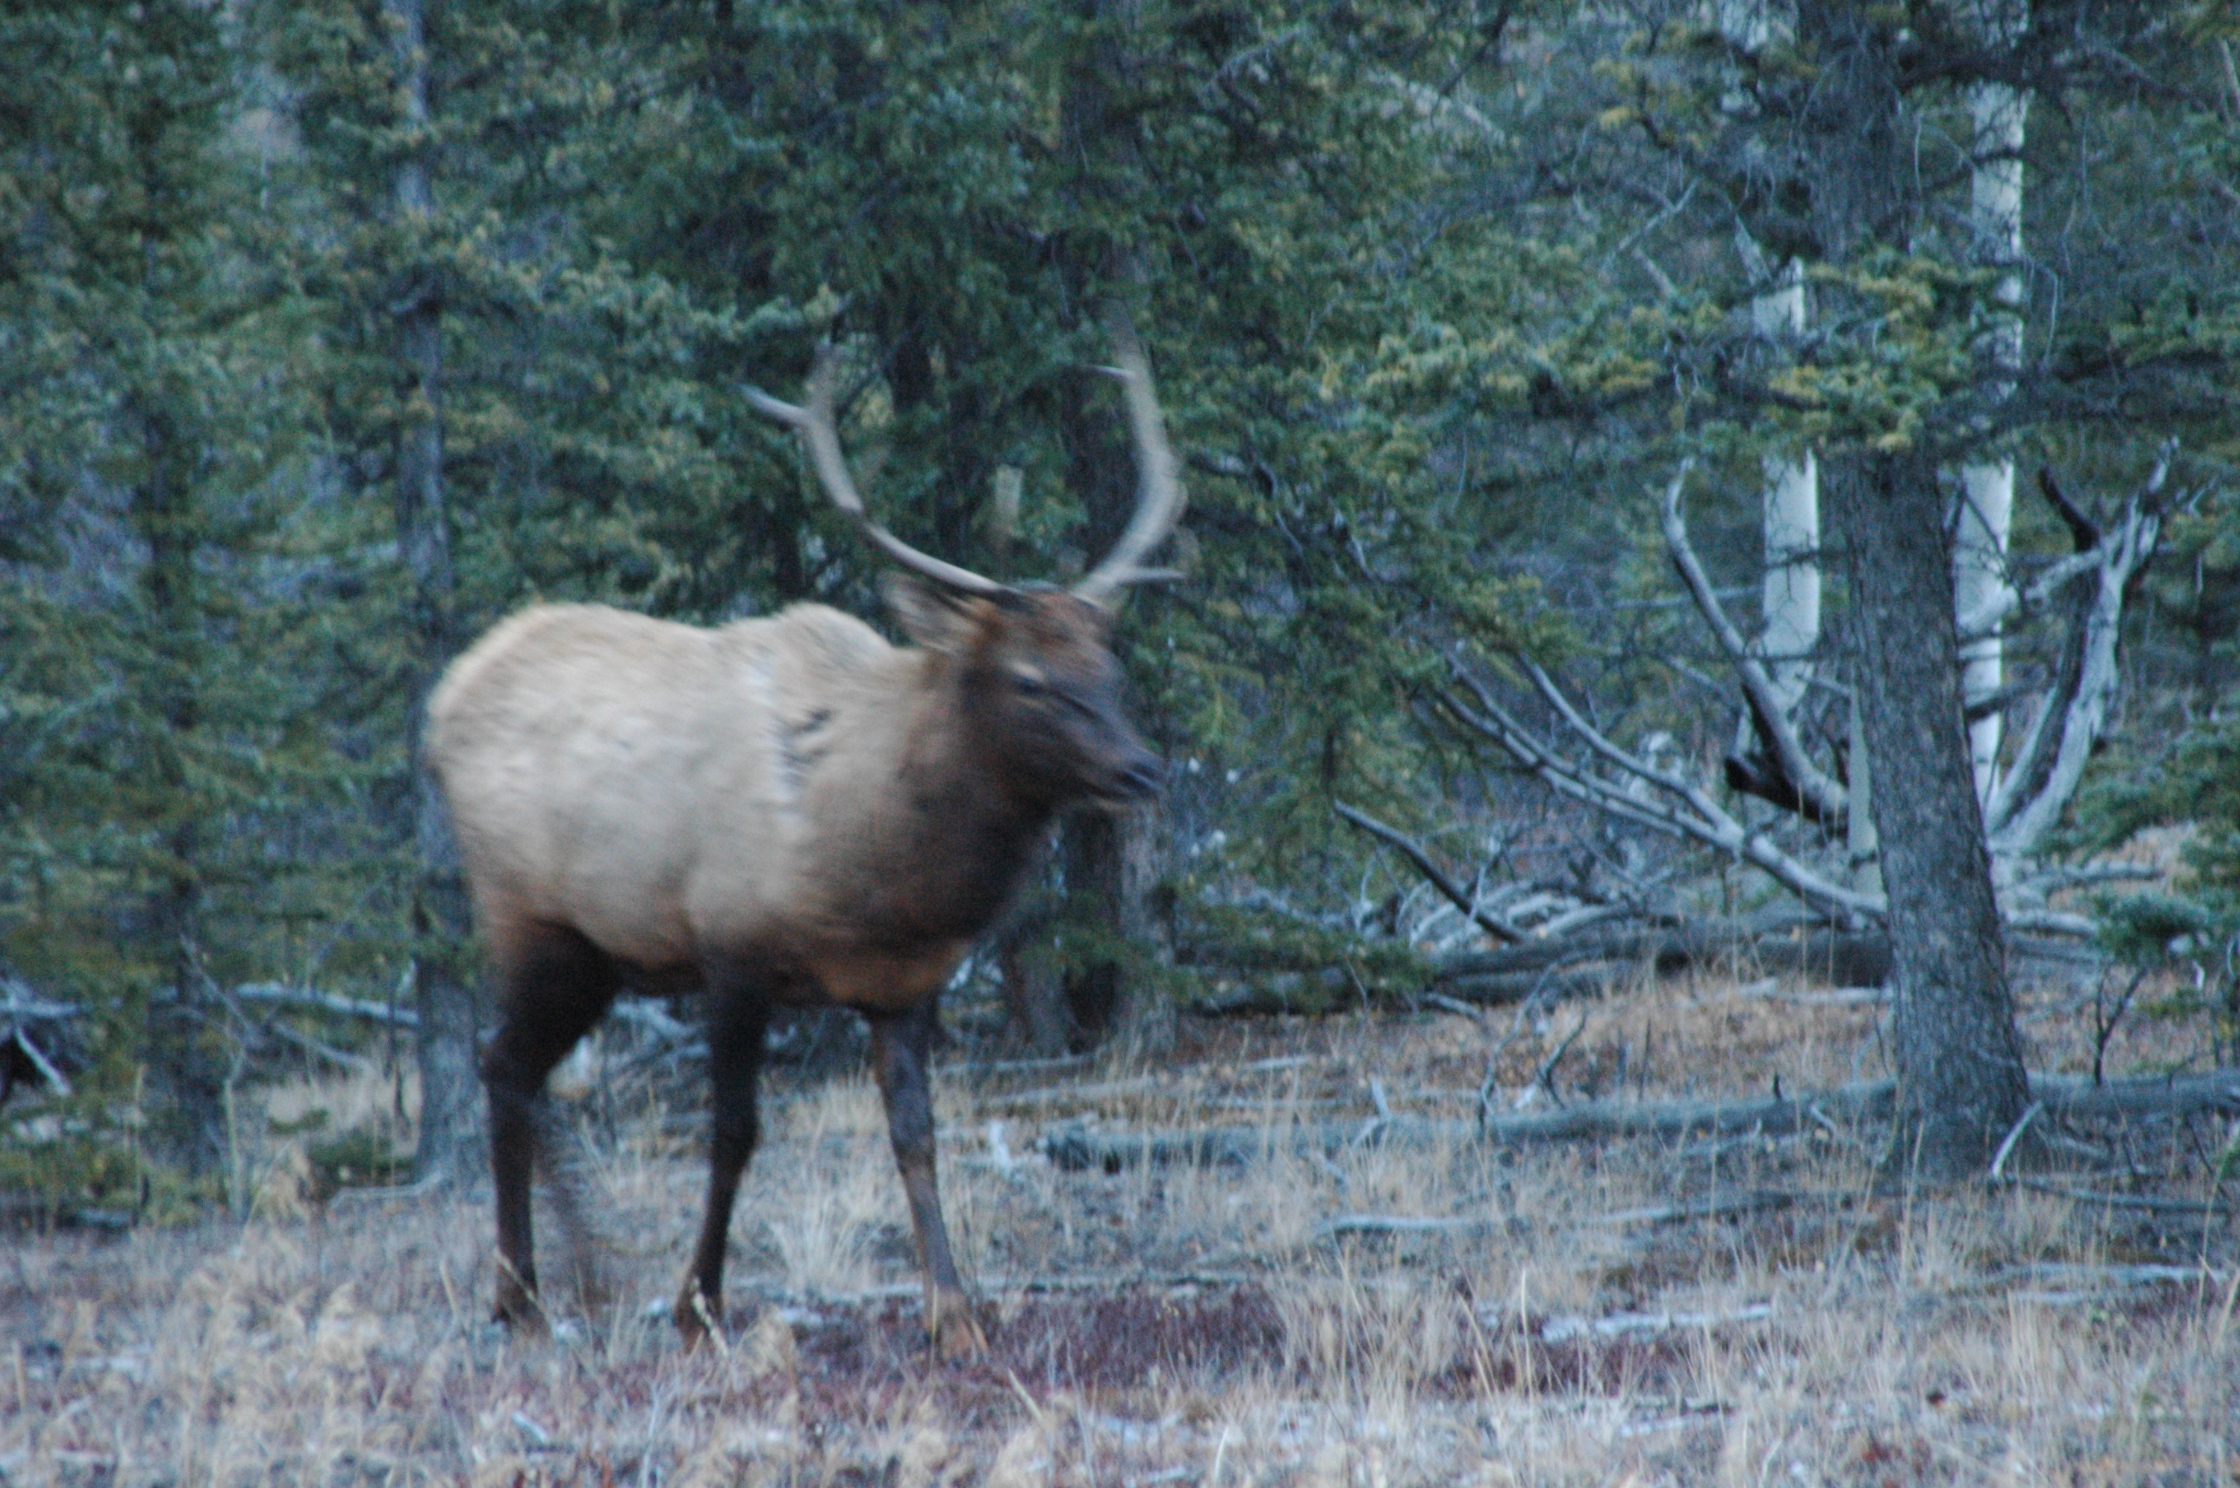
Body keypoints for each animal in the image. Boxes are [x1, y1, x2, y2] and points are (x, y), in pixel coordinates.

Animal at [425, 323, 1182, 1362]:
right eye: (1031, 679)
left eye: (1110, 664)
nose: (1143, 771)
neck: (881, 871)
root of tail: (441, 703)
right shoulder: (730, 954)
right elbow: (734, 1133)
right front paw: (699, 1303)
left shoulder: (905, 986)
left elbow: (916, 1133)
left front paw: (955, 1312)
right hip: (528, 916)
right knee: (501, 1064)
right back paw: (528, 1293)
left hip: (599, 955)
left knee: (517, 1069)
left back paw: (571, 1278)